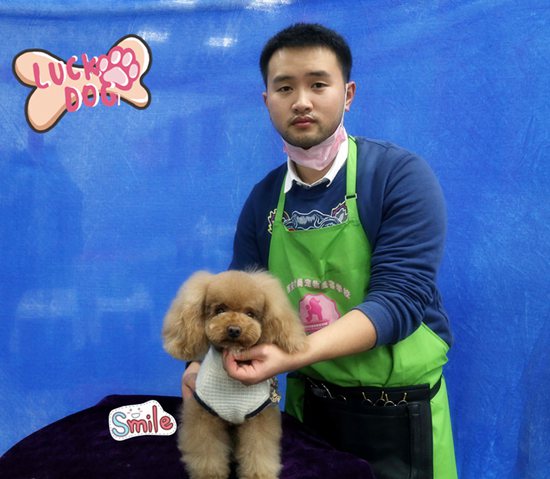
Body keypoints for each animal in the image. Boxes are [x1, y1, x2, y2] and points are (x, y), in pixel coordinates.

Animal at [162, 269, 306, 479]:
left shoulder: (258, 417)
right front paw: (210, 475)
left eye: (250, 313)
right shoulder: (204, 414)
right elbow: (207, 452)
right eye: (220, 310)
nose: (234, 330)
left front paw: (258, 475)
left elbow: (258, 450)